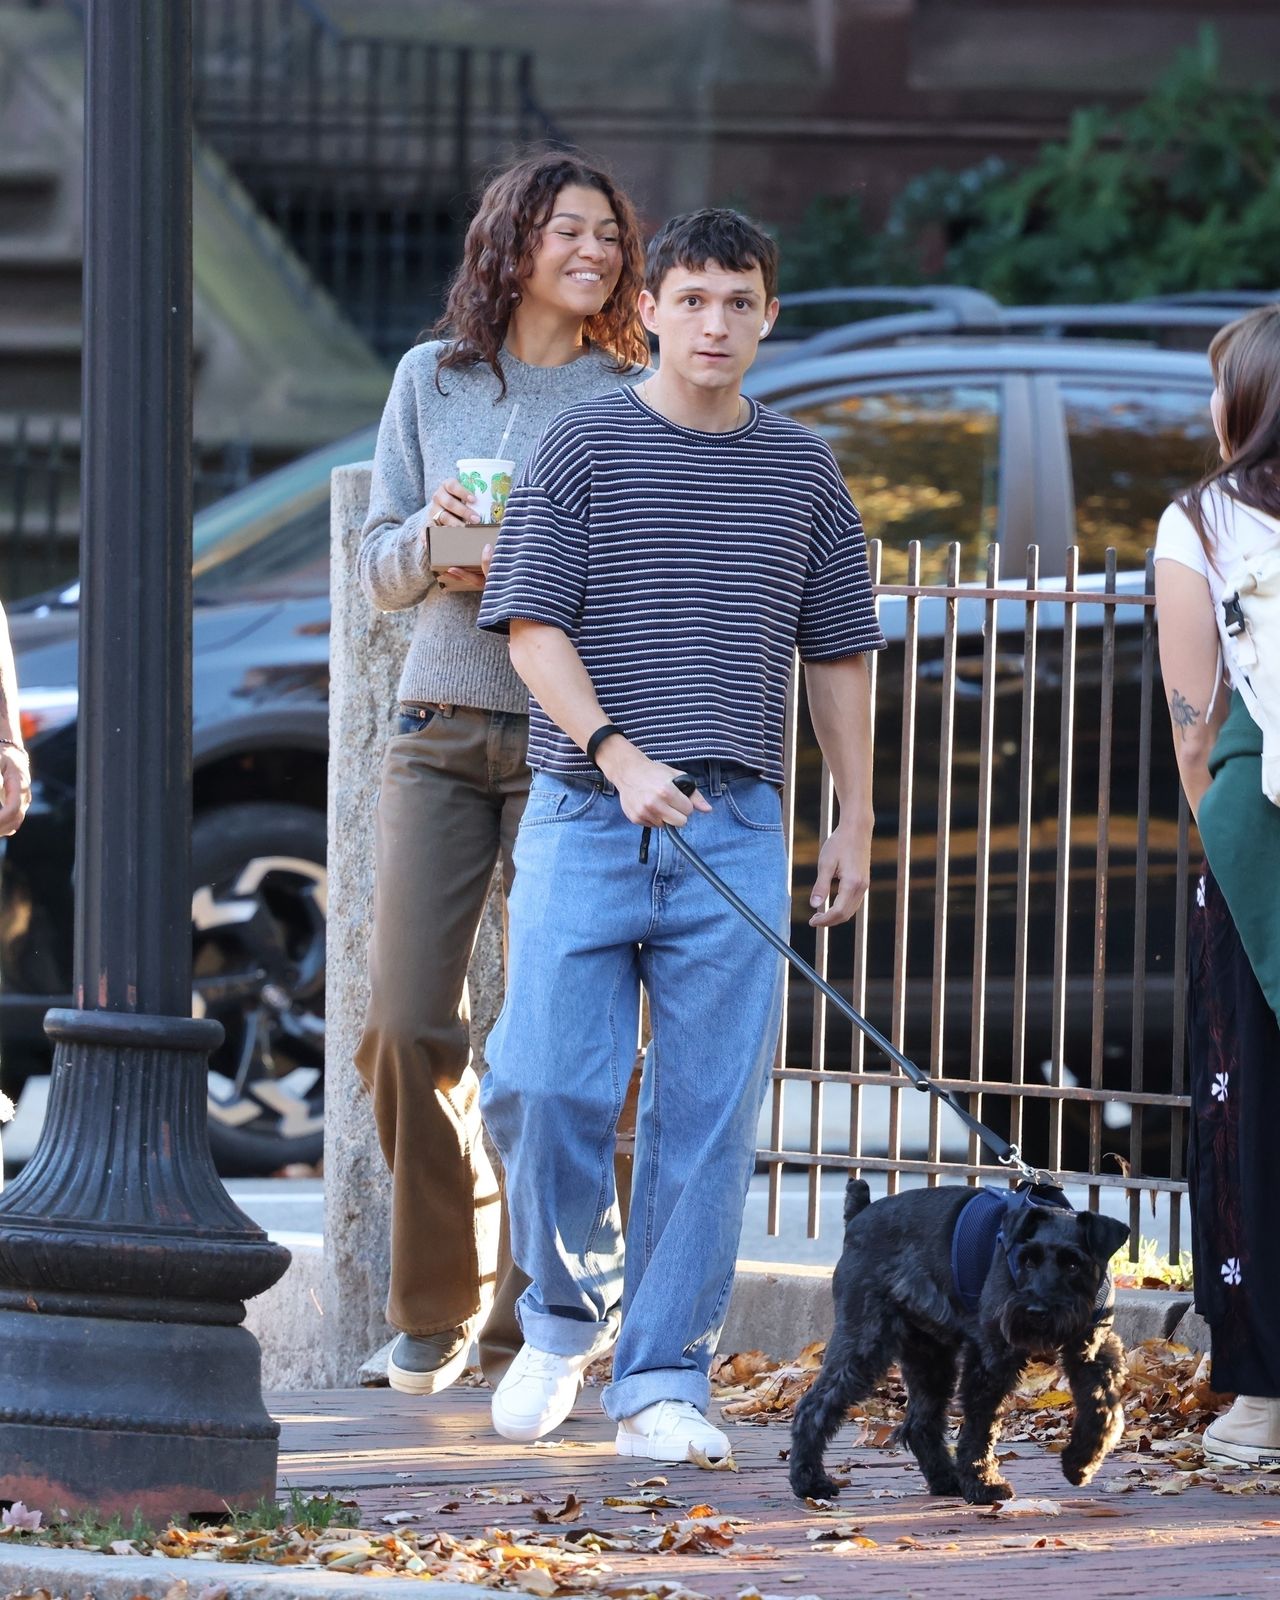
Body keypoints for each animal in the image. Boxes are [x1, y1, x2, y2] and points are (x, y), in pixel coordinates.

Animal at [784, 1177, 1126, 1497]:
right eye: (1027, 1259)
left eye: (1074, 1263)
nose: (1036, 1310)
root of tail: (858, 1216)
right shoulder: (991, 1358)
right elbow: (981, 1425)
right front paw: (983, 1483)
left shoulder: (1090, 1352)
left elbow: (1102, 1408)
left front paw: (1080, 1463)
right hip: (865, 1343)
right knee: (813, 1407)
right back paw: (810, 1481)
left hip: (929, 1356)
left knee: (920, 1423)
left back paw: (947, 1480)